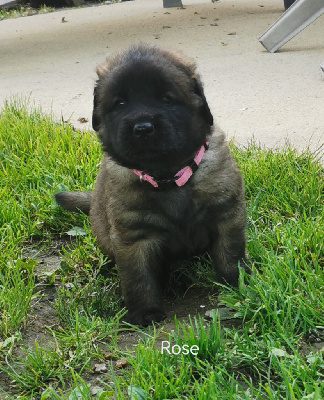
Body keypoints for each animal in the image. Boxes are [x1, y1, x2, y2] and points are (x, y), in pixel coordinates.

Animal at [55, 43, 246, 324]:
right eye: (120, 103)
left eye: (166, 98)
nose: (143, 128)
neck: (168, 176)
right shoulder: (134, 237)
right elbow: (138, 278)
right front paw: (144, 313)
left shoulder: (225, 214)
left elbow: (230, 257)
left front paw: (238, 286)